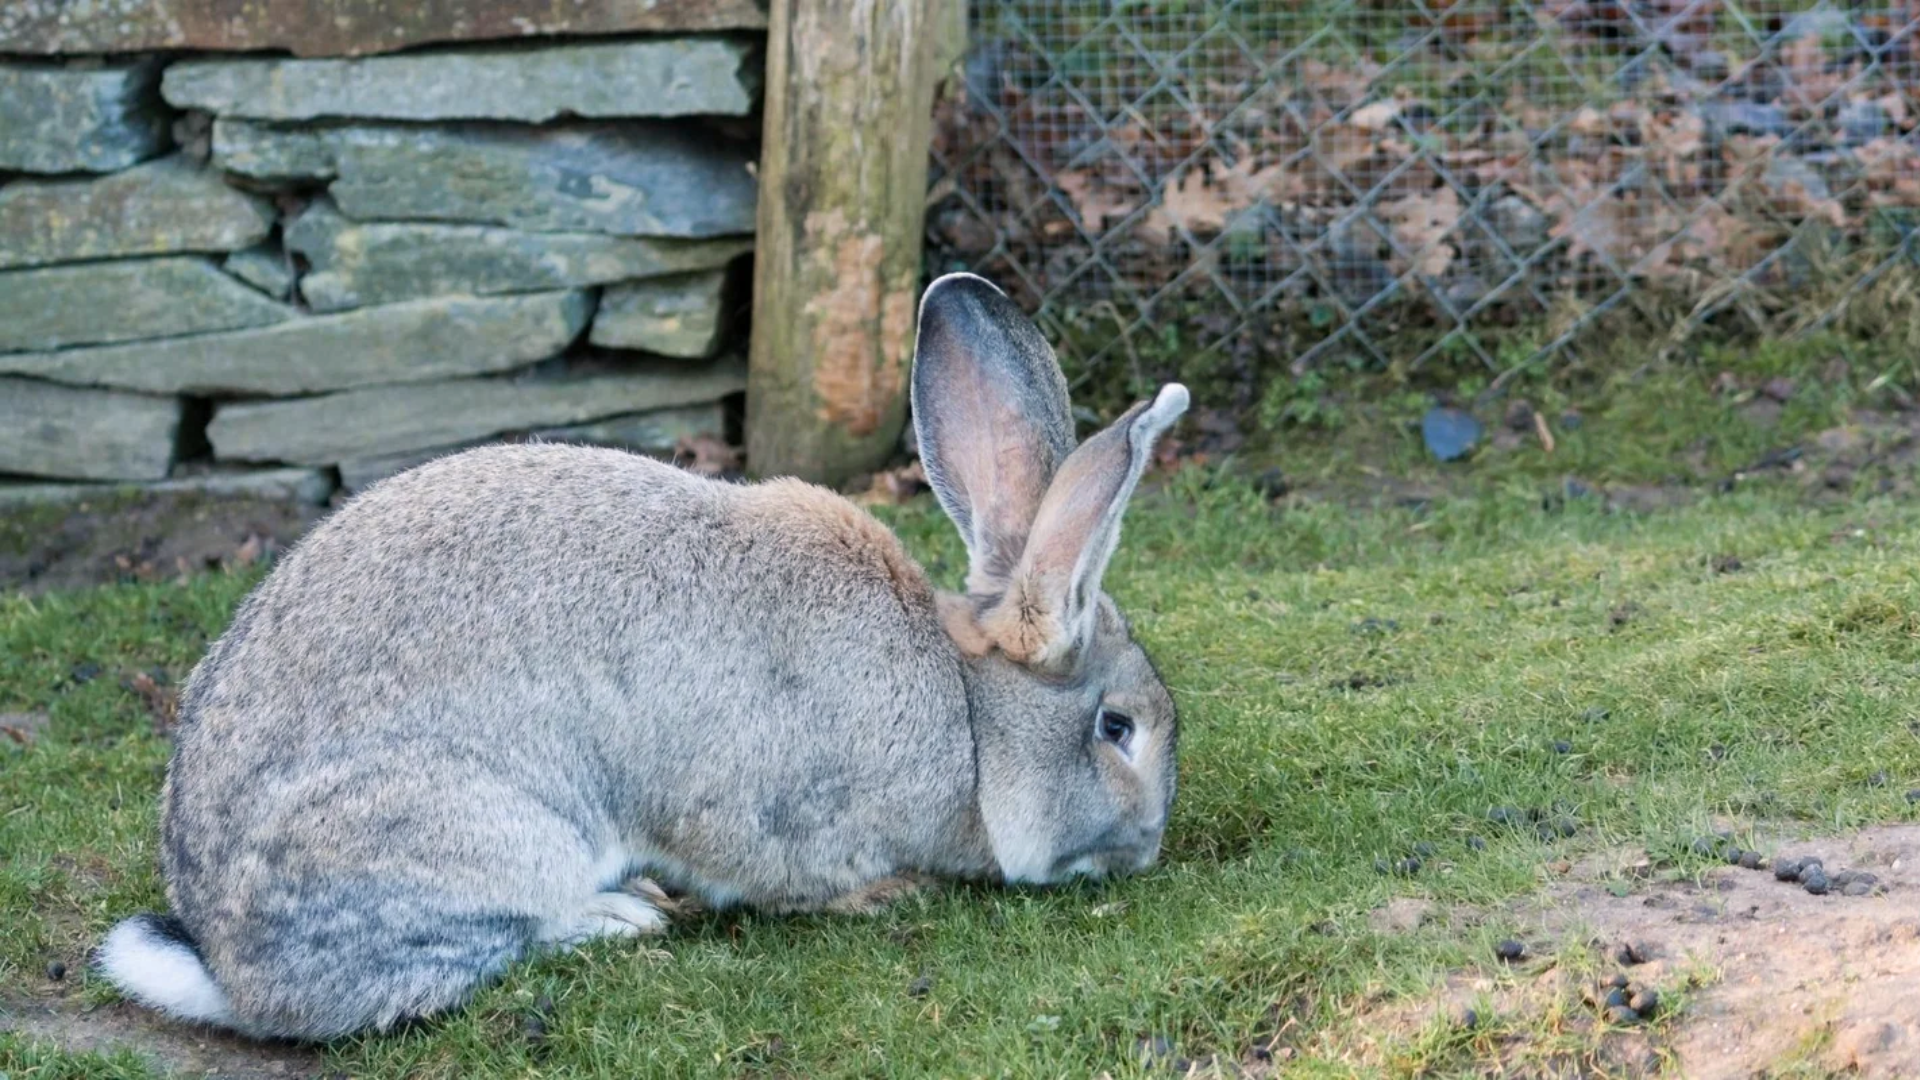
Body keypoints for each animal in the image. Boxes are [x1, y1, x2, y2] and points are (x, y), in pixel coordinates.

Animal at [94, 272, 1189, 1042]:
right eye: (1117, 729)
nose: (1147, 851)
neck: (967, 718)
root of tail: (233, 967)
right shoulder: (768, 812)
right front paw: (891, 893)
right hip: (481, 834)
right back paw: (624, 916)